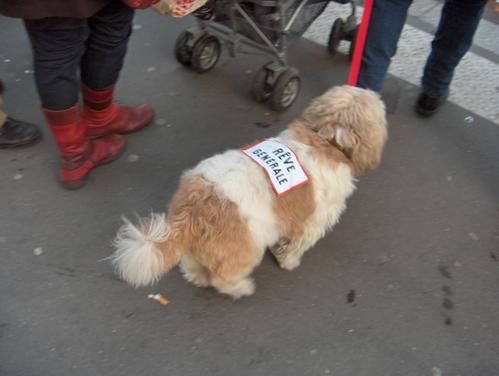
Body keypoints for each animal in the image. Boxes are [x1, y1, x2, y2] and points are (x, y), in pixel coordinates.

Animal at [111, 86, 388, 300]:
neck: (326, 139)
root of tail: (194, 210)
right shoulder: (313, 222)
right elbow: (296, 245)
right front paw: (288, 262)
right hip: (246, 249)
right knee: (223, 279)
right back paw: (241, 288)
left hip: (198, 246)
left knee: (191, 263)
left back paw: (198, 277)